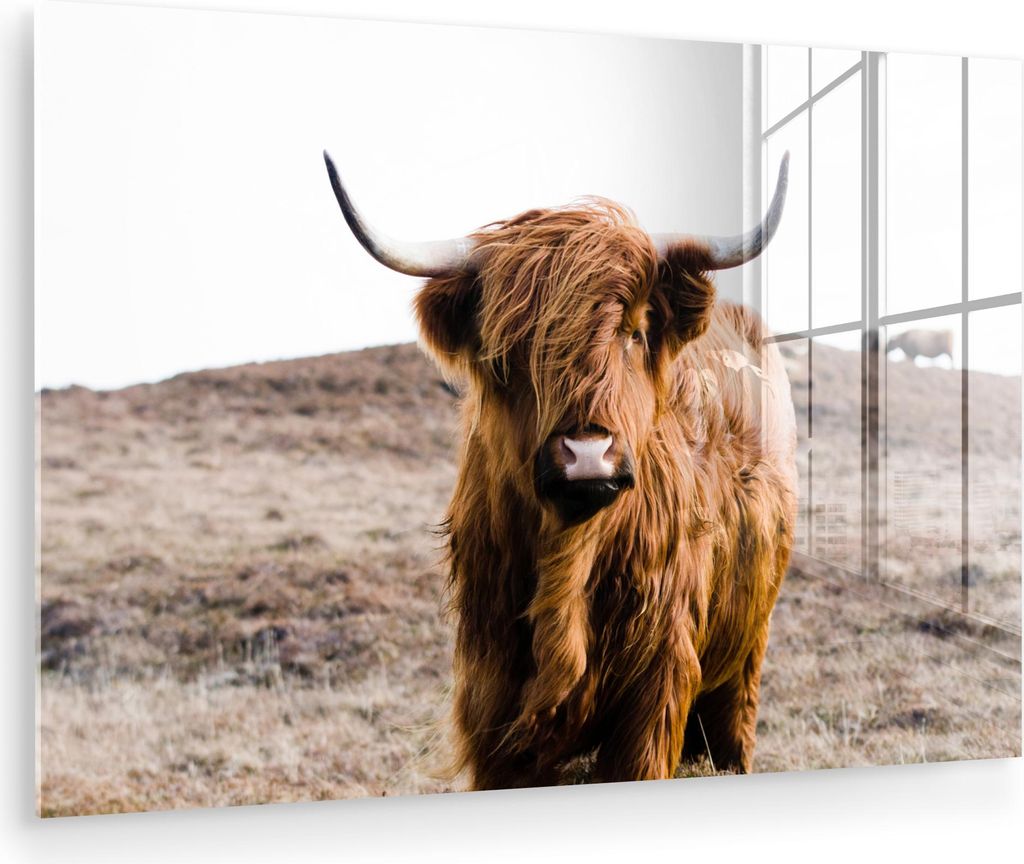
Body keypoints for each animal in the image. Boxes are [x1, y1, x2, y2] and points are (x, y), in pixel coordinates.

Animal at [323, 151, 798, 789]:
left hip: (747, 650)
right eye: (508, 350)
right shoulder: (492, 693)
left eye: (634, 332)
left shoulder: (656, 688)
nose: (586, 453)